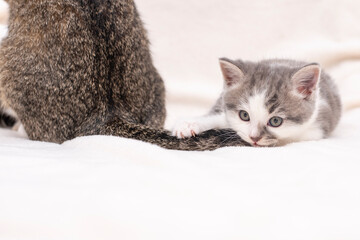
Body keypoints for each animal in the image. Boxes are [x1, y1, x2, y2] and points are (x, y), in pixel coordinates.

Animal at [173, 59, 342, 147]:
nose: (254, 138)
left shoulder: (319, 126)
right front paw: (189, 124)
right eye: (244, 115)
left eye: (275, 121)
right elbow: (221, 117)